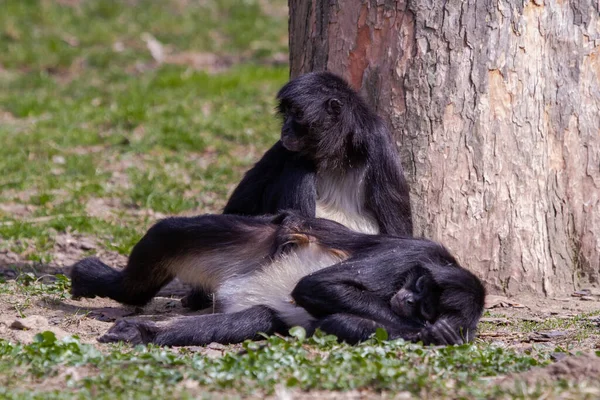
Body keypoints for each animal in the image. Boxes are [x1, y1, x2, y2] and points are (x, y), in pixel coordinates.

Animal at [70, 212, 486, 346]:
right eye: (420, 287)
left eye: (426, 306)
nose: (409, 302)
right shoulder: (411, 255)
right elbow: (317, 287)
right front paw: (432, 331)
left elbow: (340, 323)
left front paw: (436, 331)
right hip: (258, 237)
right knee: (166, 235)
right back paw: (95, 280)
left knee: (256, 319)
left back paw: (141, 332)